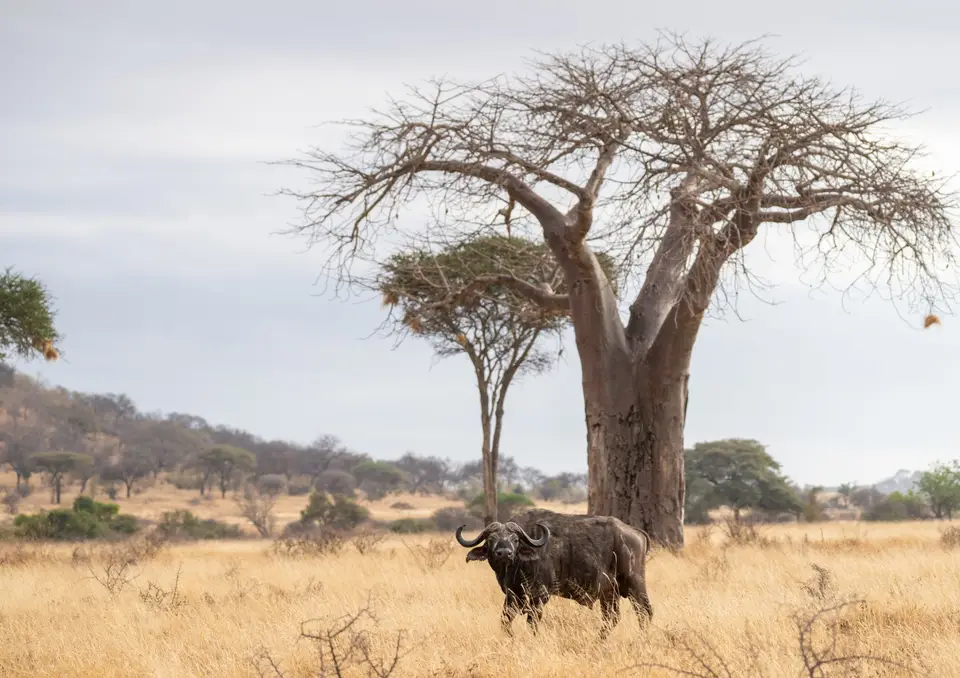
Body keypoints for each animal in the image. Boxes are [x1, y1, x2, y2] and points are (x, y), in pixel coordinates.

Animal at [455, 508, 653, 638]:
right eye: (491, 539)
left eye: (515, 539)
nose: (504, 553)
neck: (517, 568)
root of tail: (635, 532)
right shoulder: (512, 596)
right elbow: (505, 622)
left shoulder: (540, 596)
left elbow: (532, 623)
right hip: (609, 592)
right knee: (611, 618)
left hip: (635, 584)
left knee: (645, 612)